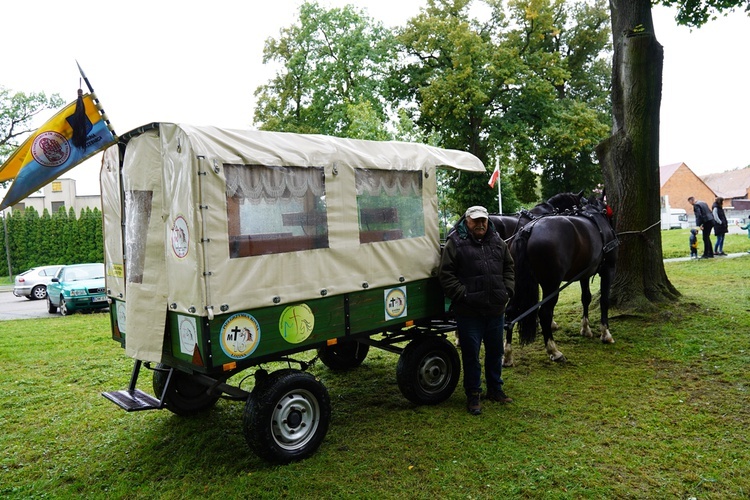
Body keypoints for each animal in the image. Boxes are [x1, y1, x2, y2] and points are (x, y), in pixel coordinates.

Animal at [502, 194, 620, 364]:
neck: (595, 214)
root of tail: (528, 230)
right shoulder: (608, 269)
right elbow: (604, 300)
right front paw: (606, 333)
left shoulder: (584, 274)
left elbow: (586, 298)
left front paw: (585, 329)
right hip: (551, 284)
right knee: (545, 313)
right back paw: (553, 350)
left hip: (517, 282)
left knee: (510, 312)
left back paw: (507, 353)